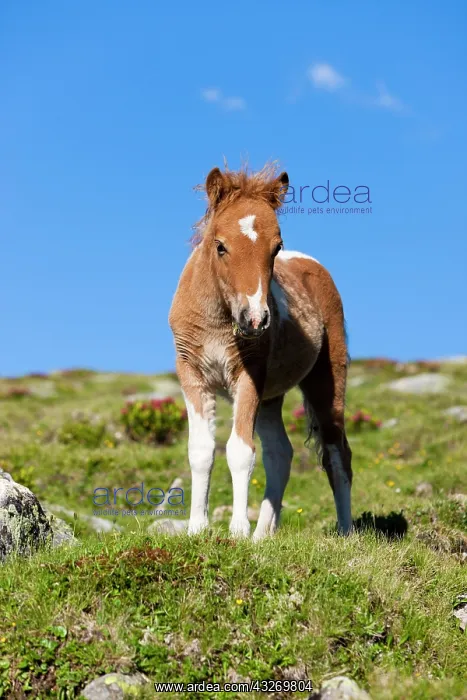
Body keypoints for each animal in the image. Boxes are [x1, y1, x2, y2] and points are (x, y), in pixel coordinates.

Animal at [169, 163, 352, 540]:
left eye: (276, 247)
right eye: (220, 246)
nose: (254, 319)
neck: (218, 319)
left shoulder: (248, 375)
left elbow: (240, 451)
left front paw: (237, 531)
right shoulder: (191, 373)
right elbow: (201, 450)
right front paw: (197, 528)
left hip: (326, 379)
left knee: (336, 451)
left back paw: (345, 532)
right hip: (271, 396)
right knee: (281, 453)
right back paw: (263, 536)